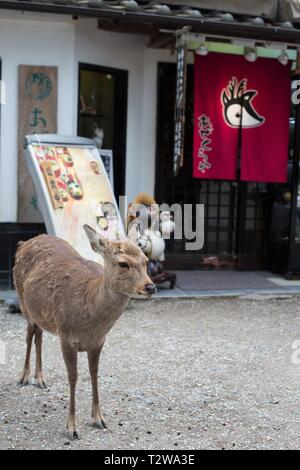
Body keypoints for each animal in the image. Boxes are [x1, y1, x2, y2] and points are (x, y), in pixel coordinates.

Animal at [12, 226, 156, 438]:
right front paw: (72, 427)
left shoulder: (99, 341)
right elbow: (73, 377)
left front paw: (99, 419)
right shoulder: (66, 337)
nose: (151, 287)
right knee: (30, 333)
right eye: (123, 263)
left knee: (39, 333)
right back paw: (24, 377)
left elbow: (94, 373)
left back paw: (40, 379)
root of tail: (24, 243)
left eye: (145, 260)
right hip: (22, 301)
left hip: (39, 311)